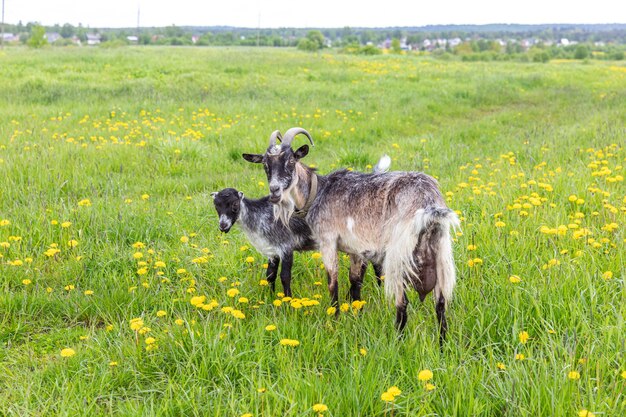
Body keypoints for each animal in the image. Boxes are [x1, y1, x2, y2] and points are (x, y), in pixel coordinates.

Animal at [243, 128, 458, 342]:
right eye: (265, 165)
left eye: (290, 161)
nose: (274, 191)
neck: (318, 193)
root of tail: (428, 202)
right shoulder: (356, 249)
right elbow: (355, 282)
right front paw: (357, 314)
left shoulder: (328, 241)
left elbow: (333, 282)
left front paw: (335, 319)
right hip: (441, 251)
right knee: (440, 303)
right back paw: (441, 344)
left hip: (399, 252)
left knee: (402, 301)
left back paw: (398, 340)